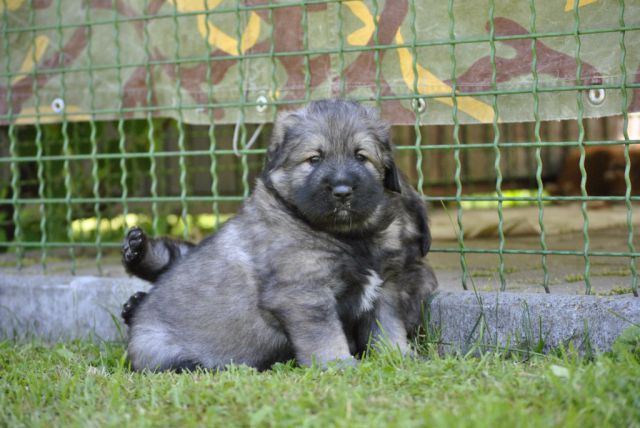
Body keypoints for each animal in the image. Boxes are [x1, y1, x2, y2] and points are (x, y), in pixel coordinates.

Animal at [122, 100, 438, 372]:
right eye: (314, 159)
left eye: (361, 157)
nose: (342, 191)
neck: (348, 236)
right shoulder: (303, 293)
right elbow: (325, 335)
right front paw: (339, 365)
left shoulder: (385, 288)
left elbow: (388, 326)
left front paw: (398, 356)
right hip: (159, 348)